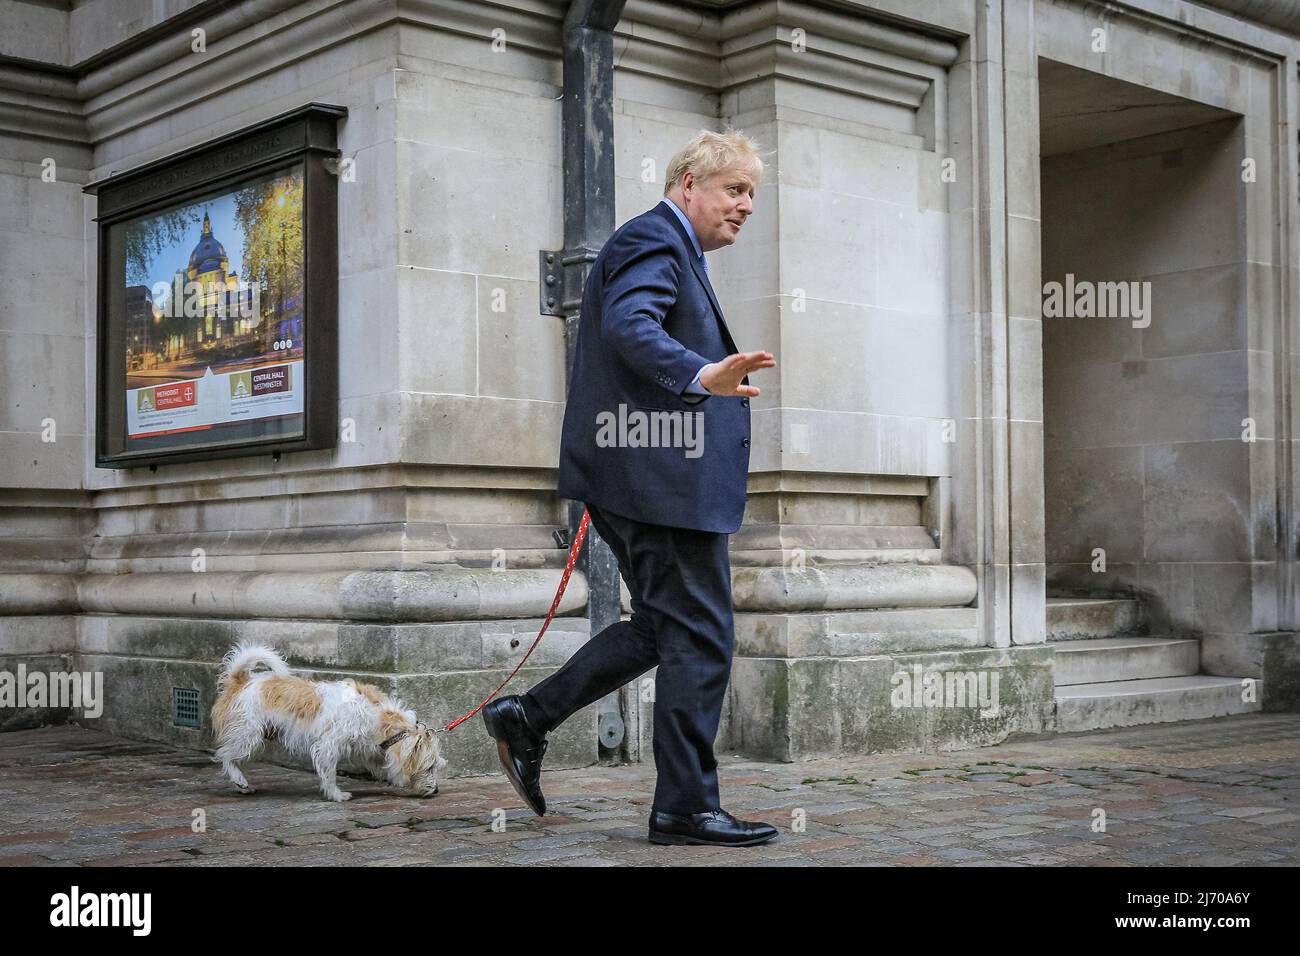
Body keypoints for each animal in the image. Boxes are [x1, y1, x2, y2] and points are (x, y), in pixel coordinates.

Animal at [211, 642, 447, 801]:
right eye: (429, 767)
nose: (436, 791)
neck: (377, 716)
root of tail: (241, 681)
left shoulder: (366, 746)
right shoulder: (329, 745)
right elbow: (329, 773)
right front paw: (336, 795)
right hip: (247, 735)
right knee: (224, 755)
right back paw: (240, 781)